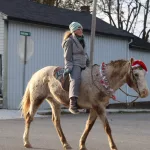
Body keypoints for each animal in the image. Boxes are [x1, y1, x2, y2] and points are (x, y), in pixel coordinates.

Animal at [20, 57, 149, 150]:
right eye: (136, 74)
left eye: (144, 74)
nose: (145, 93)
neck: (102, 79)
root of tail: (36, 74)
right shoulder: (99, 107)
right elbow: (107, 128)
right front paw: (114, 147)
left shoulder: (94, 108)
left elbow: (89, 126)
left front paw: (82, 144)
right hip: (37, 99)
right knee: (29, 118)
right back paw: (26, 142)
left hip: (55, 102)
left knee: (56, 121)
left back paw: (66, 144)